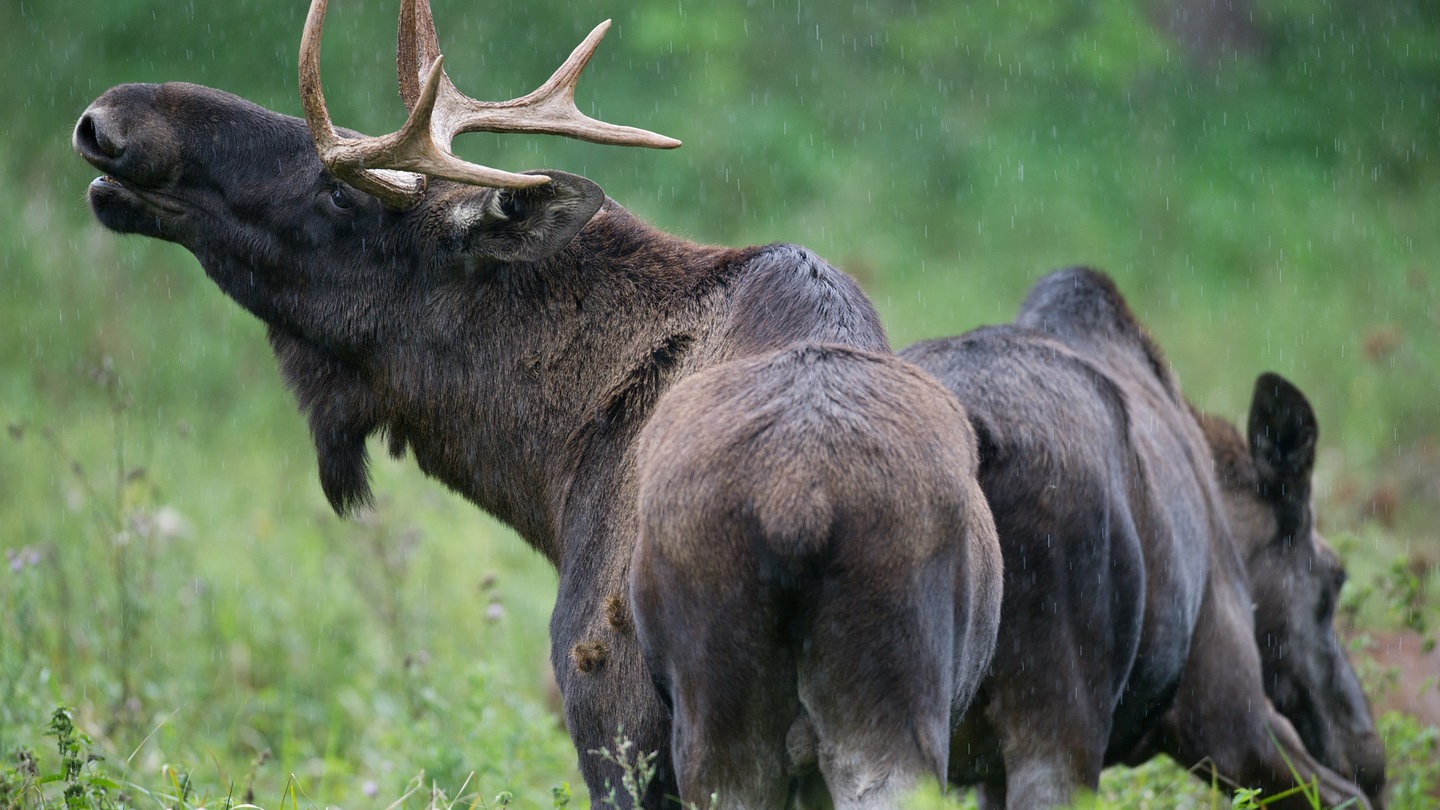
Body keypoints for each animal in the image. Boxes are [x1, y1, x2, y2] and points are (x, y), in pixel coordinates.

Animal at [898, 266, 1382, 807]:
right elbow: (1342, 797)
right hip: (1062, 727)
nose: (1371, 756)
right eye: (1336, 578)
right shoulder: (1231, 717)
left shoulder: (988, 776)